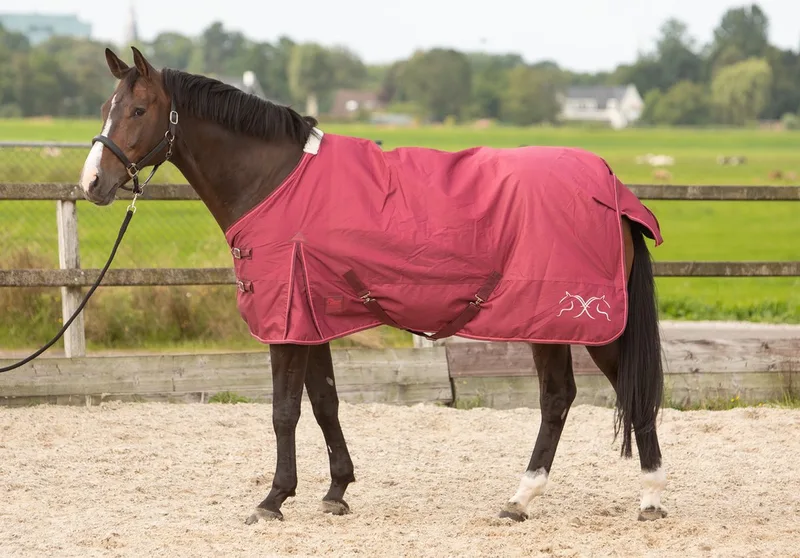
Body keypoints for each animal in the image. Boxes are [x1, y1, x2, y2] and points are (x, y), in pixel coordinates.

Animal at [79, 46, 668, 524]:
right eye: (105, 105)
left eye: (138, 110)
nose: (92, 183)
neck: (275, 181)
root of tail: (612, 190)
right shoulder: (311, 315)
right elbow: (324, 402)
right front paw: (336, 490)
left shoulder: (285, 321)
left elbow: (284, 411)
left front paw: (273, 499)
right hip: (550, 321)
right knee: (562, 398)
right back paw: (526, 500)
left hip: (581, 320)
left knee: (608, 394)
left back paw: (643, 498)